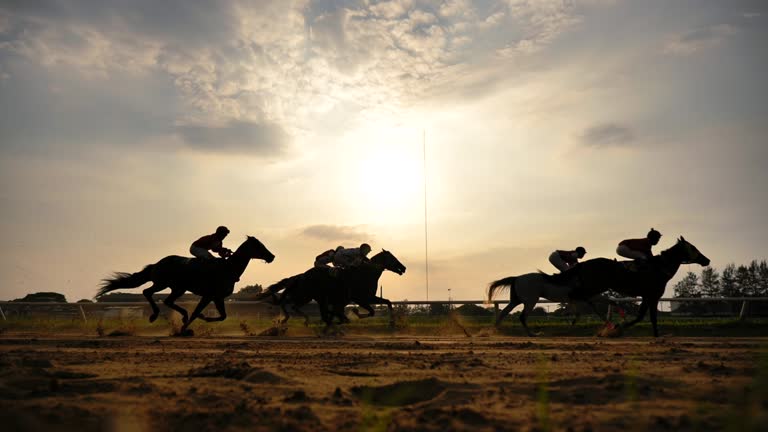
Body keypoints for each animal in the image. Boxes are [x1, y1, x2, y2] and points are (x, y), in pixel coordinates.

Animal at [97, 236, 274, 334]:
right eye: (259, 246)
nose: (272, 256)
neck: (228, 268)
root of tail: (157, 264)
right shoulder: (209, 295)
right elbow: (197, 312)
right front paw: (185, 328)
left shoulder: (218, 297)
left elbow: (223, 316)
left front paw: (196, 320)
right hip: (162, 283)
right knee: (148, 292)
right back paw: (154, 315)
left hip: (178, 288)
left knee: (167, 300)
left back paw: (181, 315)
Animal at [544, 236, 712, 338]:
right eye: (693, 248)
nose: (707, 260)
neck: (660, 268)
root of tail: (584, 263)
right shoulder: (653, 295)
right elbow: (650, 317)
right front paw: (619, 328)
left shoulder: (647, 296)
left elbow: (641, 316)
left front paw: (619, 327)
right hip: (595, 285)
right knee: (576, 295)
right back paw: (575, 316)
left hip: (594, 286)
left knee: (585, 298)